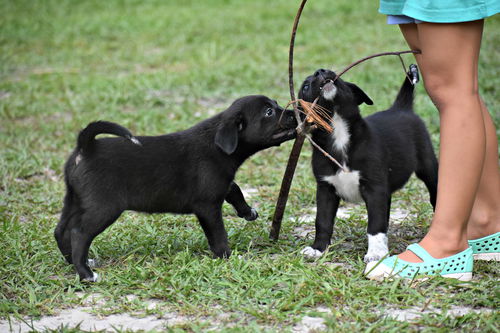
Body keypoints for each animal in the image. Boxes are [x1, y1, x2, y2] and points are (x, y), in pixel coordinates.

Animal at [54, 94, 296, 282]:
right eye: (269, 112)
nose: (295, 113)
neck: (216, 144)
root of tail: (86, 147)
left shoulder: (220, 184)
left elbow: (234, 188)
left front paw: (247, 212)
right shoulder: (208, 206)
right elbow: (218, 234)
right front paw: (227, 255)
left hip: (74, 199)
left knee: (61, 231)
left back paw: (76, 262)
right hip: (104, 207)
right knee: (79, 233)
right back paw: (86, 274)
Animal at [296, 65, 438, 262]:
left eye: (336, 74)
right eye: (306, 86)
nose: (320, 71)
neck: (339, 132)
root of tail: (401, 108)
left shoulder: (374, 188)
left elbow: (375, 223)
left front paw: (376, 252)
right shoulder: (325, 189)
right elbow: (322, 220)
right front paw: (318, 248)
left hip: (427, 165)